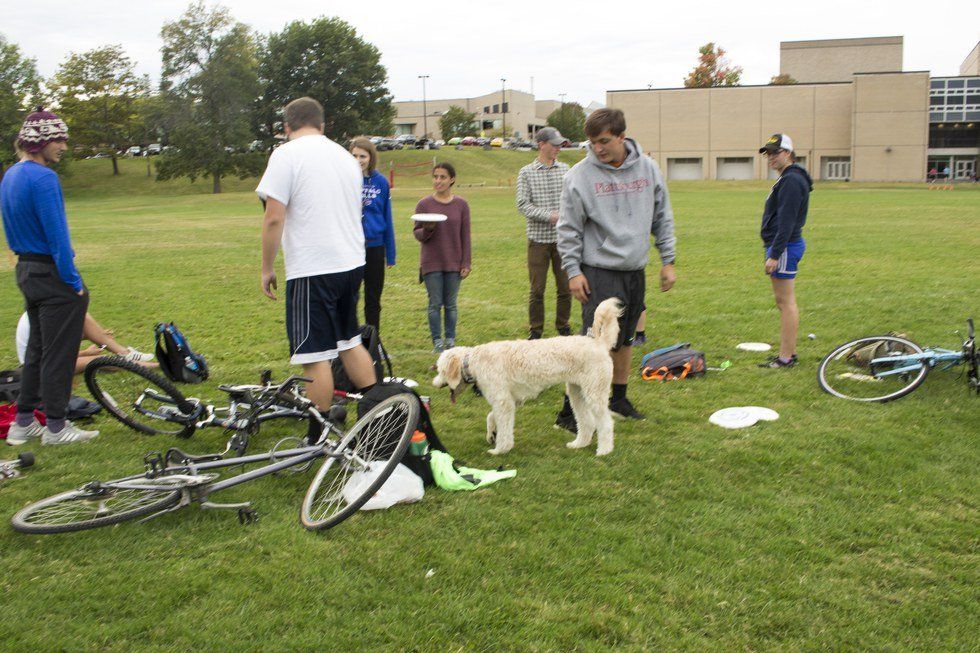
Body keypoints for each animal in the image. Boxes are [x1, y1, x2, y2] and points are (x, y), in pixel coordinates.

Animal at [434, 300, 624, 456]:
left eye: (441, 371)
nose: (434, 383)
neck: (473, 361)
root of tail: (599, 344)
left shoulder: (503, 402)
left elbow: (504, 428)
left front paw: (500, 449)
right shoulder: (510, 401)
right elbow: (491, 417)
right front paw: (491, 434)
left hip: (595, 394)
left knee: (606, 423)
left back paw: (604, 450)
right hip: (577, 394)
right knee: (587, 422)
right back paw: (579, 444)